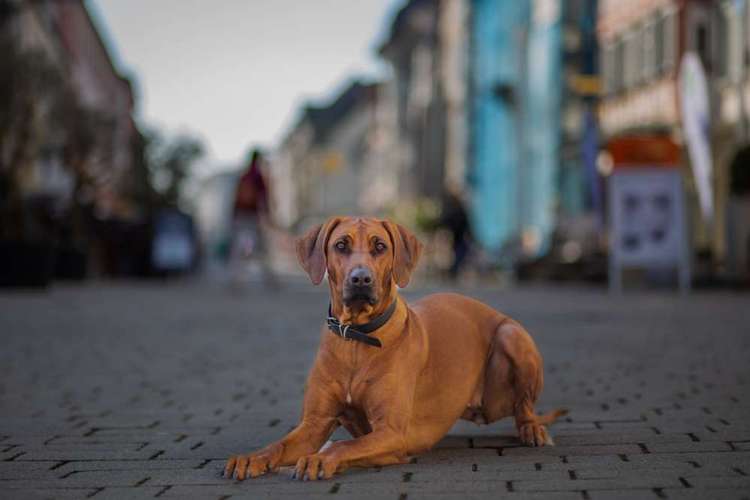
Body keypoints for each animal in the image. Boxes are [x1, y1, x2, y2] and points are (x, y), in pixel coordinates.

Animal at [226, 216, 568, 480]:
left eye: (380, 246)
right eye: (341, 245)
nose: (361, 279)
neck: (356, 338)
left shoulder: (391, 432)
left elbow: (344, 445)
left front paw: (320, 458)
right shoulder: (314, 424)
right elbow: (280, 445)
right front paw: (251, 458)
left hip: (512, 335)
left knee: (524, 406)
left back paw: (532, 429)